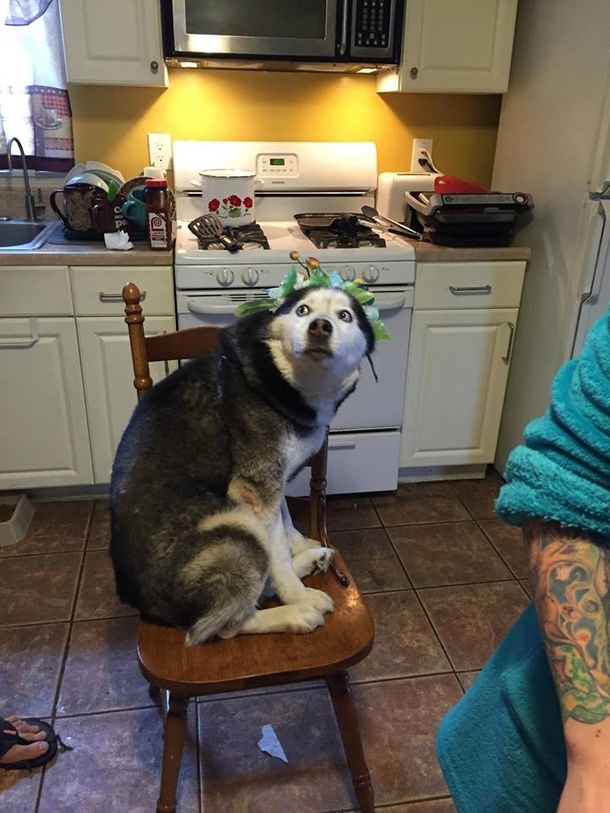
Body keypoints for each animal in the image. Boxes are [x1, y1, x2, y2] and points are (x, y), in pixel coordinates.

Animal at [111, 286, 372, 648]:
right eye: (303, 310)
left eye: (344, 315)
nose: (320, 326)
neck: (280, 378)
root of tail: (146, 606)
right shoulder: (255, 489)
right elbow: (277, 553)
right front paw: (298, 596)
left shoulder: (272, 483)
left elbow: (284, 524)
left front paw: (300, 547)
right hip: (237, 525)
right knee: (222, 626)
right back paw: (296, 612)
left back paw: (309, 561)